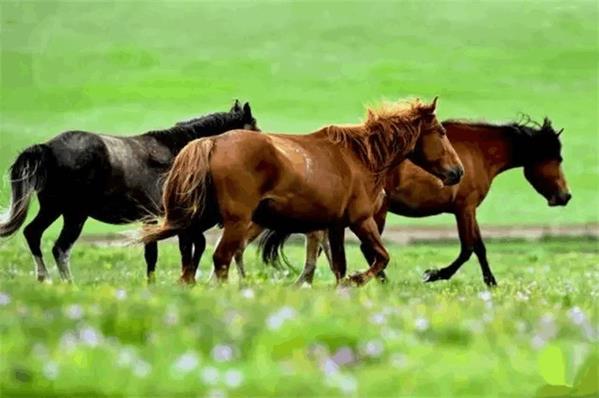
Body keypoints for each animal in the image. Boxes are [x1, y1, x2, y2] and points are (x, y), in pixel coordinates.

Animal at [0, 101, 258, 282]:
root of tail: (47, 148)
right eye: (254, 128)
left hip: (54, 208)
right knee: (60, 248)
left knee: (33, 233)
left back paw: (44, 278)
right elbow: (171, 252)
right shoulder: (165, 219)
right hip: (74, 214)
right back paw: (67, 283)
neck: (178, 153)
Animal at [143, 99, 466, 286]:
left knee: (193, 258)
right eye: (441, 132)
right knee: (221, 259)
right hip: (236, 222)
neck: (361, 157)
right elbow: (381, 258)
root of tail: (211, 142)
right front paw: (357, 279)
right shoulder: (361, 221)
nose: (458, 172)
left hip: (202, 220)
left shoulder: (335, 226)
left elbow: (338, 266)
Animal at [254, 115, 572, 286]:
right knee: (369, 250)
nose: (565, 196)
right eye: (556, 158)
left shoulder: (468, 210)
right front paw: (435, 274)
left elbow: (480, 248)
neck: (477, 152)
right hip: (377, 213)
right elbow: (468, 248)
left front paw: (491, 284)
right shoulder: (464, 208)